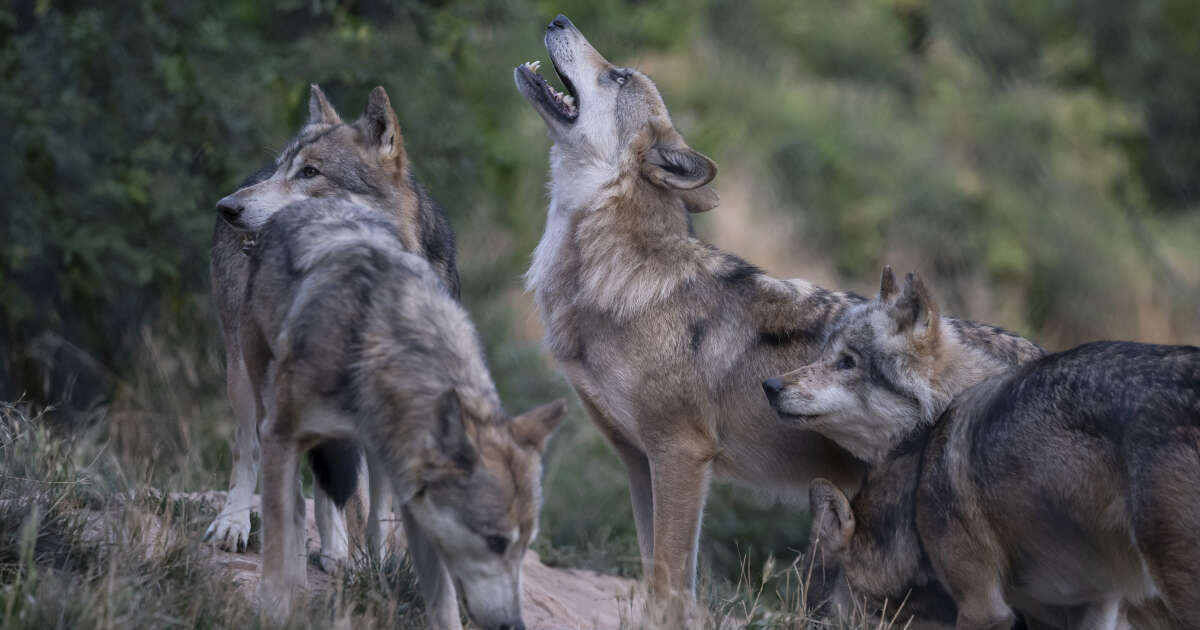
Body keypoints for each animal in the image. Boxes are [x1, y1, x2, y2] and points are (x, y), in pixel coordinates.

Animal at [206, 84, 458, 568]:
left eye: (310, 172)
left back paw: (334, 549)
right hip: (243, 372)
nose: (227, 207)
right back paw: (236, 525)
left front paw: (377, 565)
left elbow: (379, 505)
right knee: (249, 449)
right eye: (284, 169)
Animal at [243, 198, 566, 628]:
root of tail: (307, 201)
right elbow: (280, 533)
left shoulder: (416, 502)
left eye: (525, 545)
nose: (513, 624)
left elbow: (443, 602)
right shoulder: (281, 433)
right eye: (496, 542)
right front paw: (275, 610)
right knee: (294, 506)